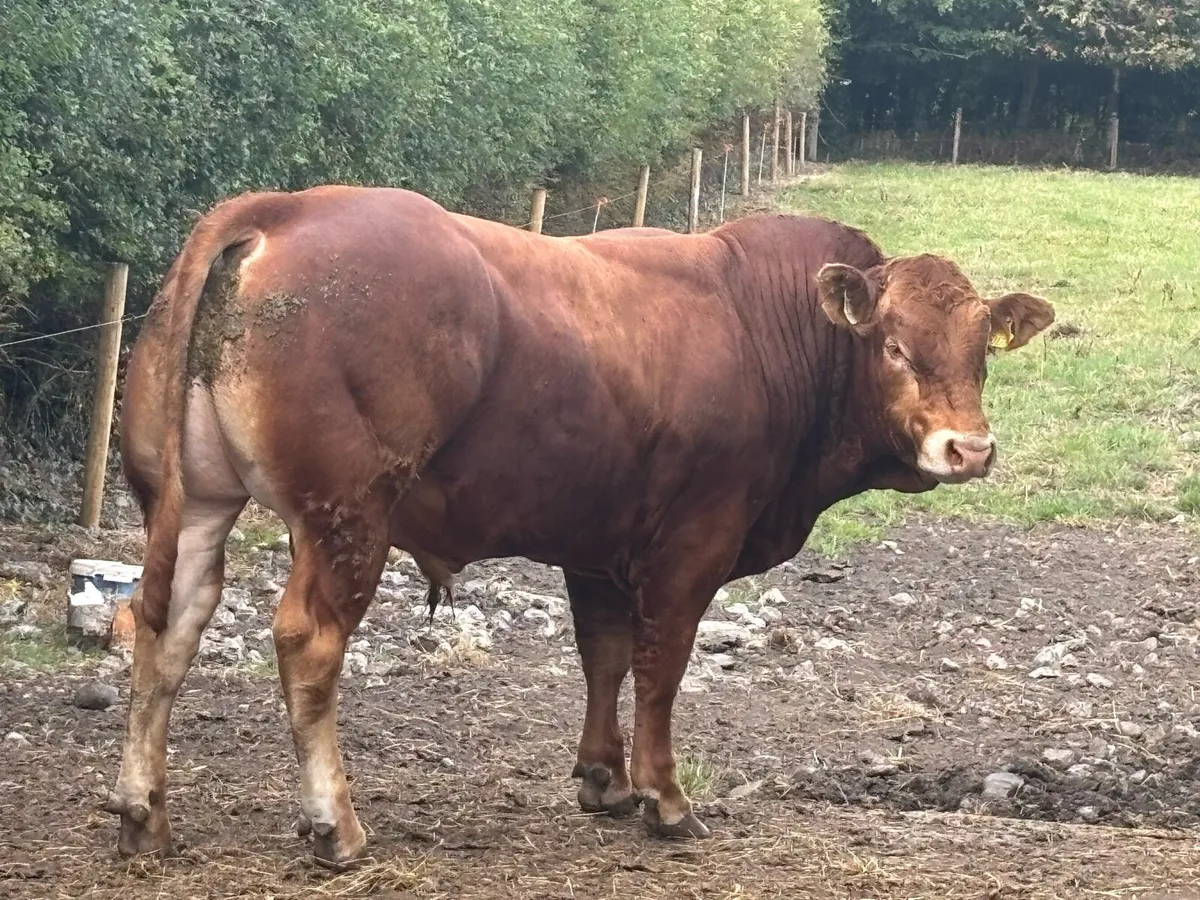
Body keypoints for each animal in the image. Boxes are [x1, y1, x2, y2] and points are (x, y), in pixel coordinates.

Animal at [107, 185, 1054, 867]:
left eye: (981, 348)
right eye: (893, 345)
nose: (968, 448)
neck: (761, 326)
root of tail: (285, 206)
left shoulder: (599, 546)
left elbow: (602, 654)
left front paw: (604, 778)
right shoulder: (692, 546)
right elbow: (660, 670)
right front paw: (665, 799)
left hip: (194, 503)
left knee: (167, 628)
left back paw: (144, 813)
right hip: (348, 518)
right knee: (308, 643)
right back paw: (335, 826)